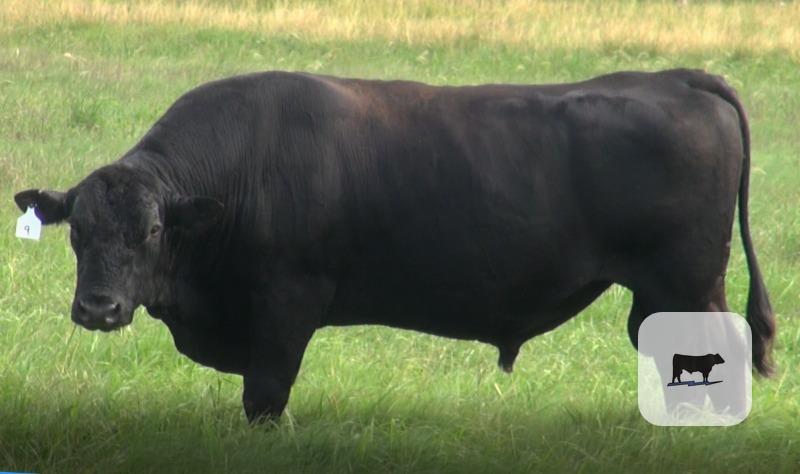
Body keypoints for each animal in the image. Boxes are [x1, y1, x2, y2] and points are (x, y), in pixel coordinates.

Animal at [14, 69, 776, 423]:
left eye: (150, 231)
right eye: (77, 231)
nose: (99, 309)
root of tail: (672, 77)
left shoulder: (287, 303)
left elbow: (265, 394)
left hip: (687, 285)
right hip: (661, 292)